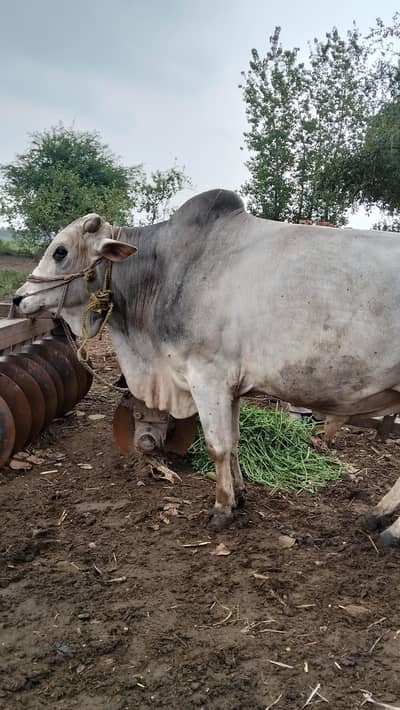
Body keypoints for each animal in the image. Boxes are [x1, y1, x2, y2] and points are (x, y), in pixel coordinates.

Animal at [12, 188, 400, 544]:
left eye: (60, 251)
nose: (18, 298)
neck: (171, 270)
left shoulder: (207, 377)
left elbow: (217, 445)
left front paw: (222, 509)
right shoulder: (232, 387)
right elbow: (235, 440)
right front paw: (240, 496)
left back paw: (389, 530)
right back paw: (376, 516)